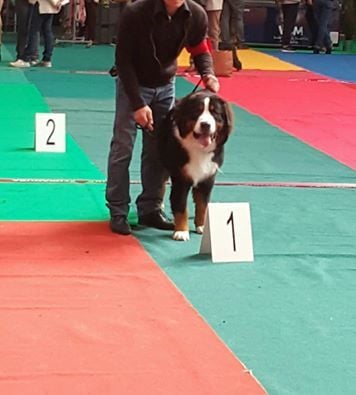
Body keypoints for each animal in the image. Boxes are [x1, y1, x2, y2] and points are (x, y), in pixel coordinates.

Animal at [158, 89, 231, 241]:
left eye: (215, 113)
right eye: (197, 112)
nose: (205, 124)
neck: (199, 149)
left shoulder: (208, 178)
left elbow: (203, 205)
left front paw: (202, 226)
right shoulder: (181, 179)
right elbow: (181, 206)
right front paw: (181, 231)